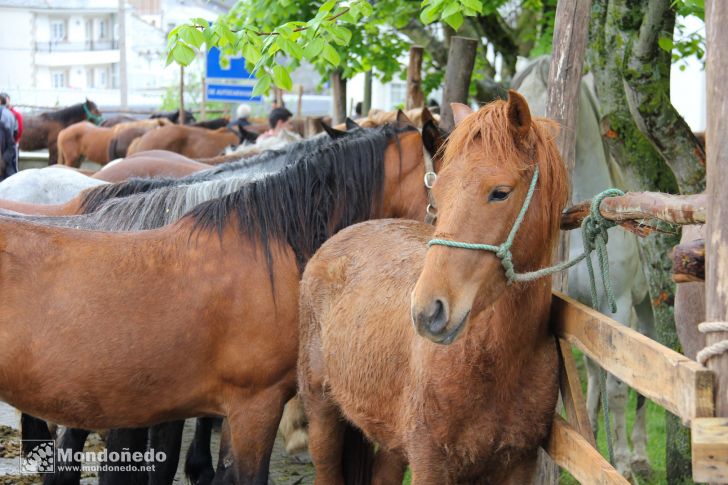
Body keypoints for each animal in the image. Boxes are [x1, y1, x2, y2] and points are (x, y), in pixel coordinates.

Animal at [298, 91, 572, 484]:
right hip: (321, 410)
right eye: (437, 195)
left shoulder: (520, 464)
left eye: (500, 193)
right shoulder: (430, 464)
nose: (428, 312)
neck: (494, 360)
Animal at [512, 55, 656, 476]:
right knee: (592, 374)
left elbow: (618, 387)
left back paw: (639, 455)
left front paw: (621, 462)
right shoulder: (572, 307)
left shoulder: (617, 308)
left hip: (646, 307)